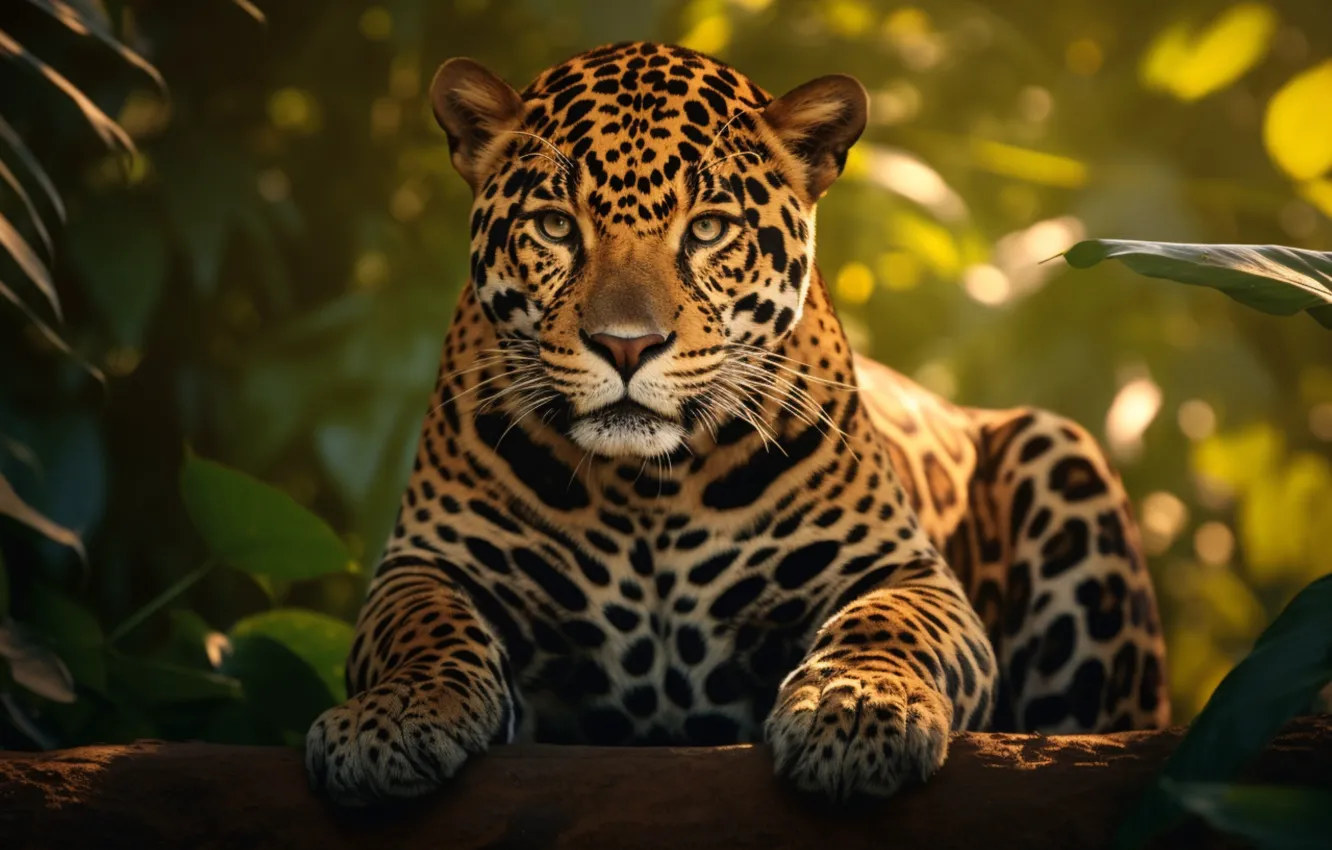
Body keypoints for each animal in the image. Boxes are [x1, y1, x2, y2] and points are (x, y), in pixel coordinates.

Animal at [305, 40, 1170, 806]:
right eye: (555, 227)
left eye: (708, 229)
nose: (627, 345)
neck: (645, 489)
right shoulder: (429, 563)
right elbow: (422, 630)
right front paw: (389, 719)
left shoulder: (900, 568)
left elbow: (888, 627)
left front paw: (857, 712)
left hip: (1064, 454)